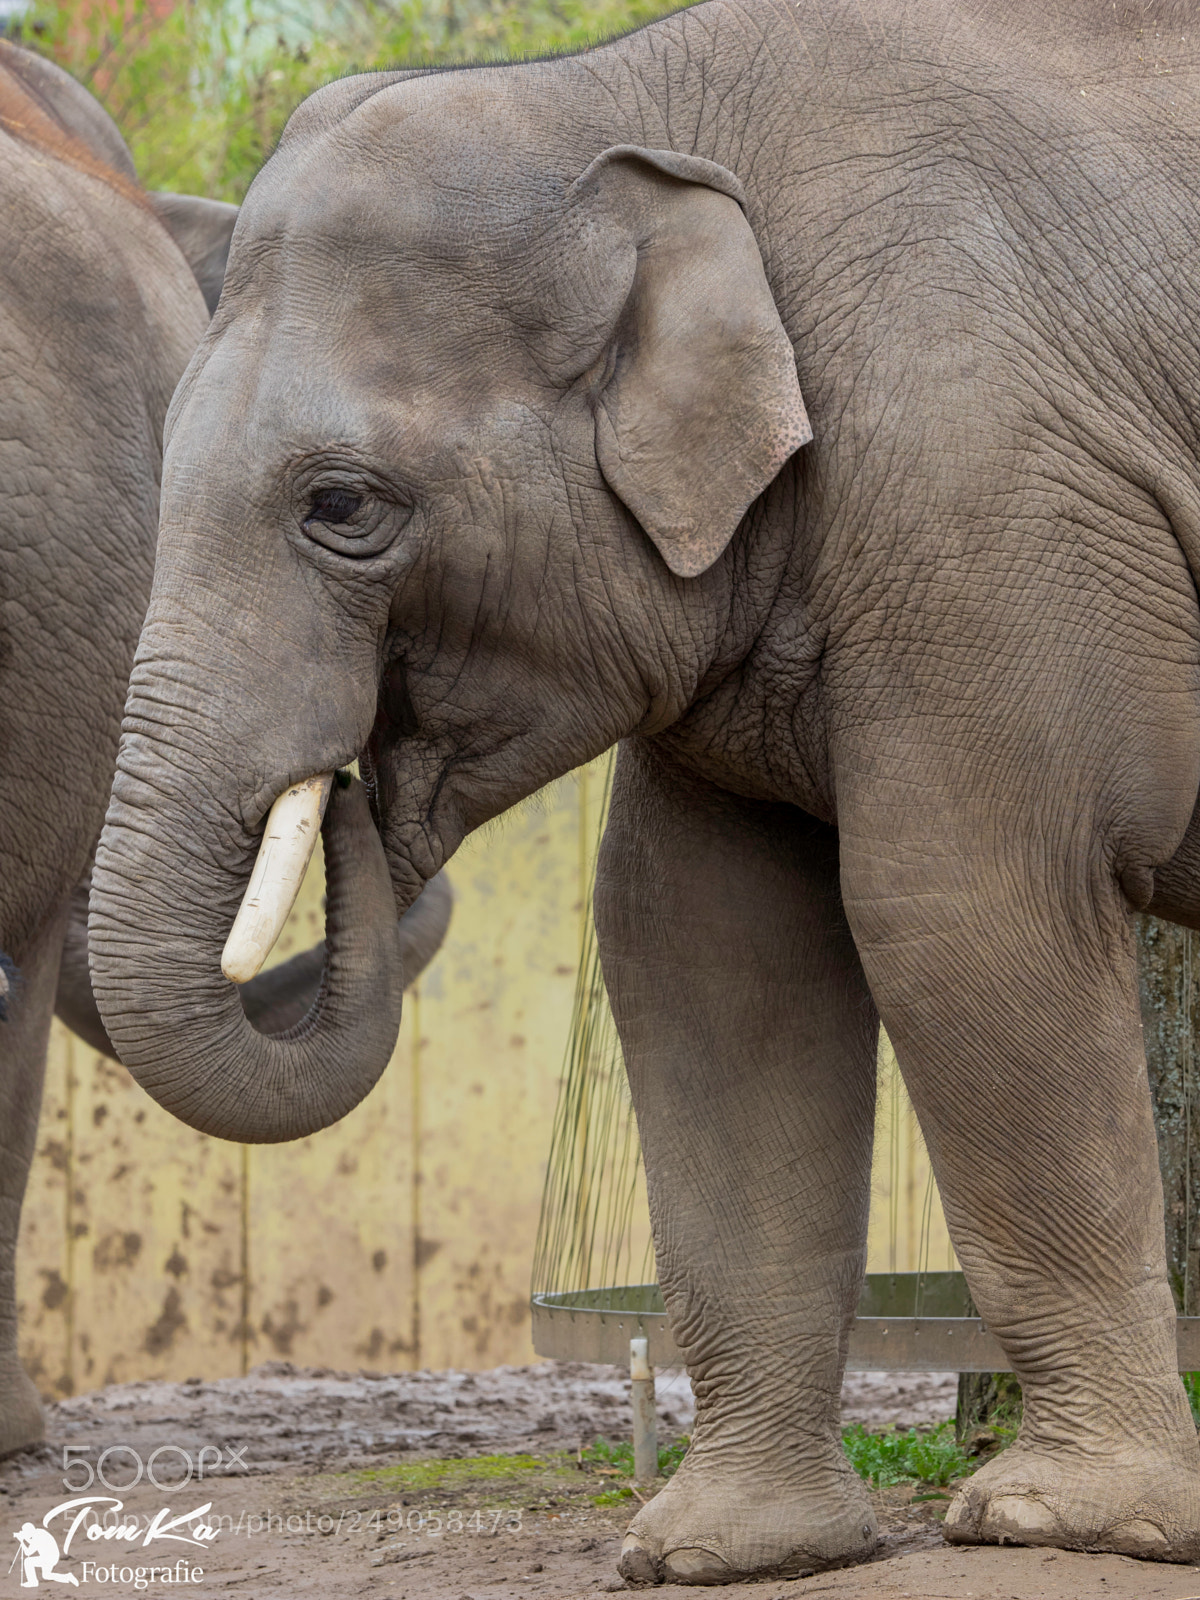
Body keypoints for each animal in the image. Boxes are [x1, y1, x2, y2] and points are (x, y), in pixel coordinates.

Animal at [87, 0, 1200, 1579]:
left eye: (343, 506)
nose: (352, 786)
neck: (623, 102)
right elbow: (705, 954)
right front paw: (723, 1554)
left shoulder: (989, 487)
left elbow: (962, 914)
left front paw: (1063, 1523)